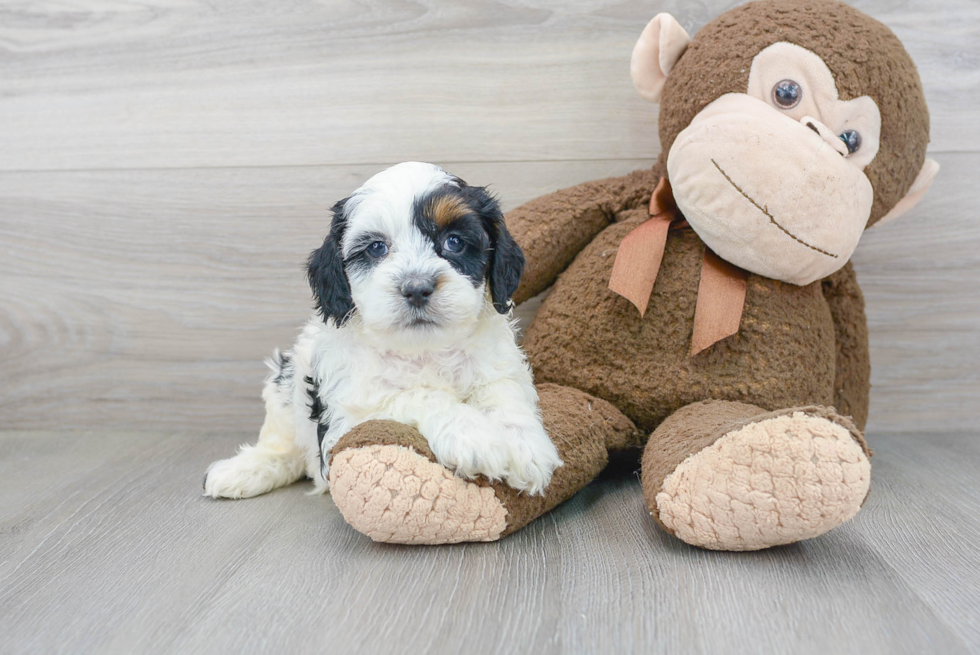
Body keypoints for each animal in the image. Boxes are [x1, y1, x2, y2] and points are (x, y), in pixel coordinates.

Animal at [203, 161, 564, 500]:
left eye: (454, 242)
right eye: (376, 248)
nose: (416, 288)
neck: (424, 349)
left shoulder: (499, 369)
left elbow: (504, 394)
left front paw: (524, 446)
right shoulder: (346, 422)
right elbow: (415, 395)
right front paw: (472, 435)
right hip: (284, 386)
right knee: (284, 447)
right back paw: (245, 471)